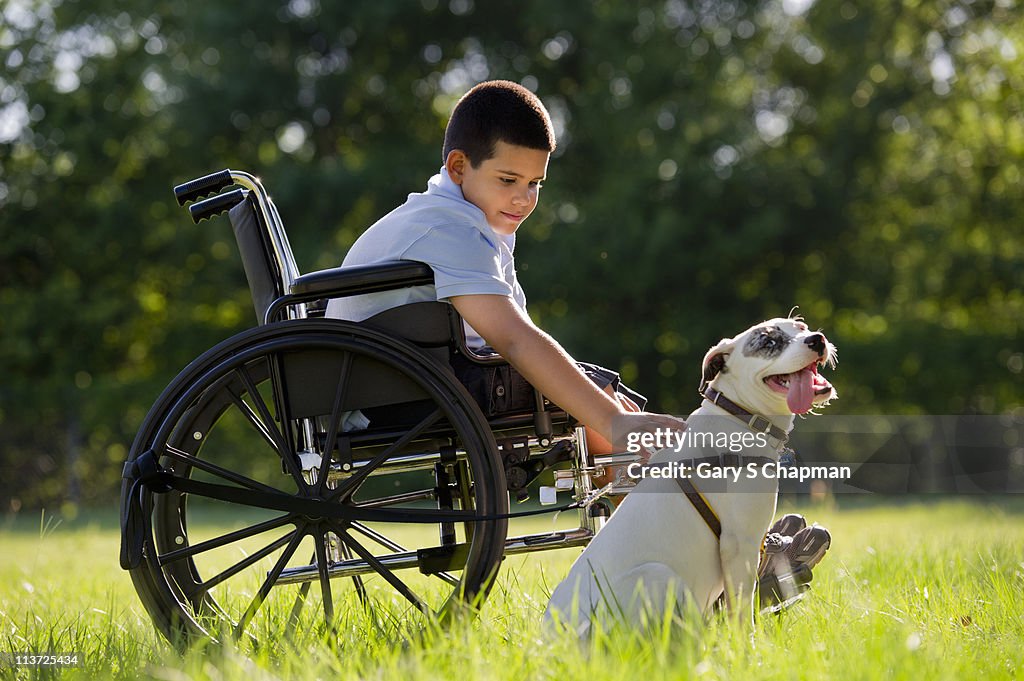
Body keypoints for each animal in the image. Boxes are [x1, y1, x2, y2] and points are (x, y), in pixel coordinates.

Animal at [548, 315, 835, 634]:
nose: (817, 339)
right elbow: (740, 611)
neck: (739, 416)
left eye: (802, 328)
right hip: (657, 575)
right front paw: (746, 644)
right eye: (769, 341)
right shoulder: (739, 545)